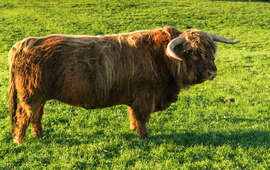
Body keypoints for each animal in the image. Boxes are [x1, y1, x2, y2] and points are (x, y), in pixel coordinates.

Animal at [8, 26, 238, 145]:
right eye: (192, 52)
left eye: (211, 50)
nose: (212, 72)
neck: (161, 58)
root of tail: (24, 43)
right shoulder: (145, 96)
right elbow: (141, 117)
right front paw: (144, 136)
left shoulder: (136, 97)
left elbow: (134, 116)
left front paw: (135, 130)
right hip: (31, 95)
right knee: (23, 117)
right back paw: (19, 141)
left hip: (39, 97)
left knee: (36, 116)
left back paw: (40, 136)